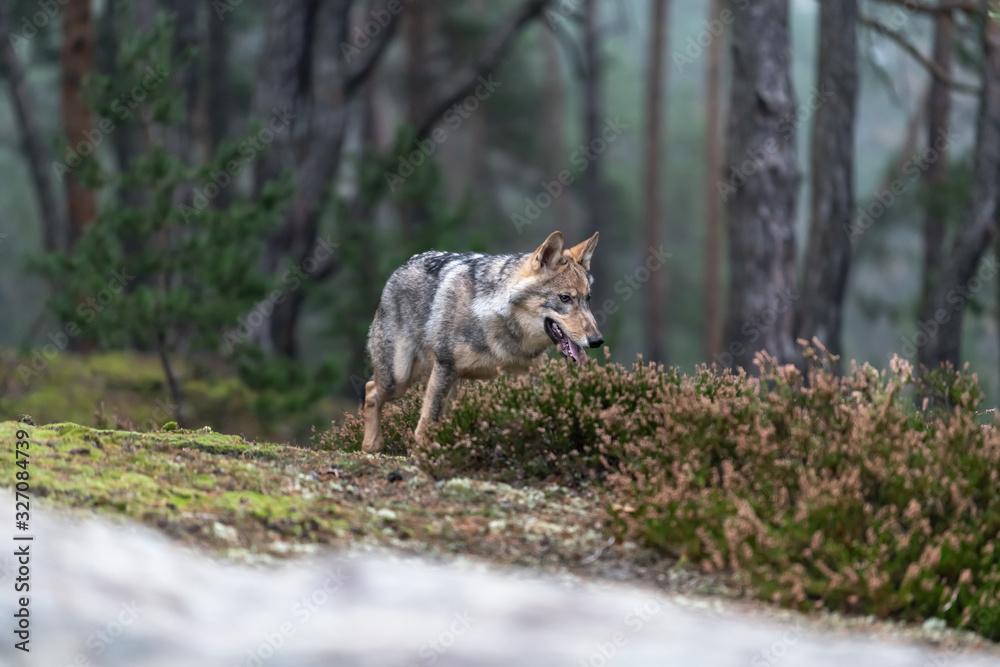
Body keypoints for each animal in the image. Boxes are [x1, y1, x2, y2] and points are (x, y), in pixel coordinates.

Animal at [362, 231, 604, 454]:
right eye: (565, 298)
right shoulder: (446, 365)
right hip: (400, 378)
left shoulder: (529, 374)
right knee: (371, 390)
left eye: (588, 299)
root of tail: (401, 267)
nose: (597, 340)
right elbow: (427, 422)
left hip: (446, 385)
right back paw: (371, 445)